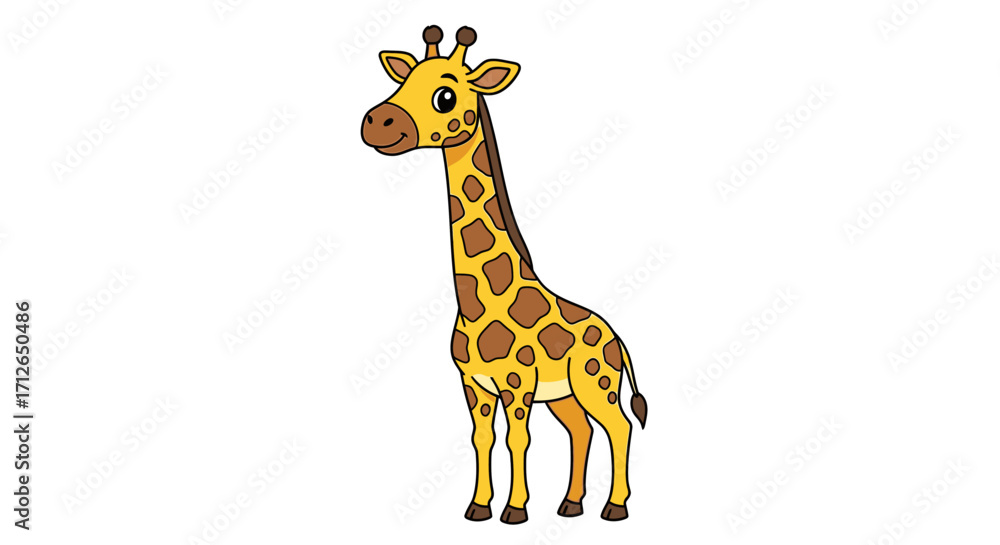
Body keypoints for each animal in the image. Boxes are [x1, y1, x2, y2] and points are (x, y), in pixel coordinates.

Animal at [360, 26, 648, 523]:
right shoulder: (473, 383)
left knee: (619, 427)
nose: (378, 122)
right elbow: (483, 438)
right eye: (404, 81)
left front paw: (514, 510)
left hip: (597, 383)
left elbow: (518, 439)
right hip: (566, 395)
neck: (476, 304)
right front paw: (478, 507)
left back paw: (614, 507)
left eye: (445, 95)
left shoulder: (518, 384)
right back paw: (570, 505)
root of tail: (617, 340)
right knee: (582, 430)